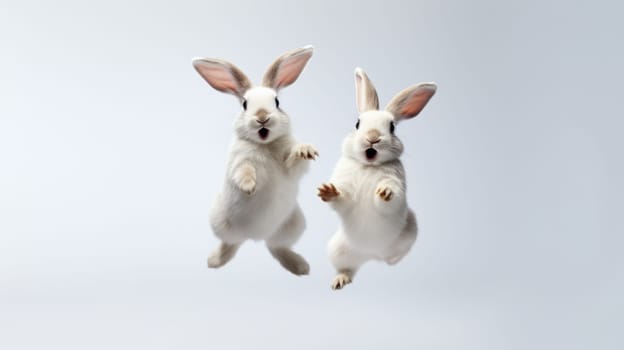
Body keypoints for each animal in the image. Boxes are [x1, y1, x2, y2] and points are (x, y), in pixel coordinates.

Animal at [194, 46, 316, 276]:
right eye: (245, 104)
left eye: (277, 102)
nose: (262, 117)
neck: (264, 144)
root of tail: (255, 237)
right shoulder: (240, 161)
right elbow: (245, 171)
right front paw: (249, 186)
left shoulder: (290, 168)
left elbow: (294, 163)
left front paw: (305, 150)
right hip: (220, 222)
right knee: (231, 243)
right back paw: (215, 261)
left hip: (293, 224)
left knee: (277, 247)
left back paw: (300, 266)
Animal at [320, 67, 436, 288]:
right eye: (358, 123)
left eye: (392, 127)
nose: (372, 137)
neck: (369, 167)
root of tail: (372, 255)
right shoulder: (345, 188)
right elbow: (341, 198)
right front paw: (327, 190)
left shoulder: (396, 182)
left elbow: (390, 197)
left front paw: (385, 191)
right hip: (338, 249)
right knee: (347, 268)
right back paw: (339, 281)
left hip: (410, 231)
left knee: (398, 255)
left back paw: (391, 260)